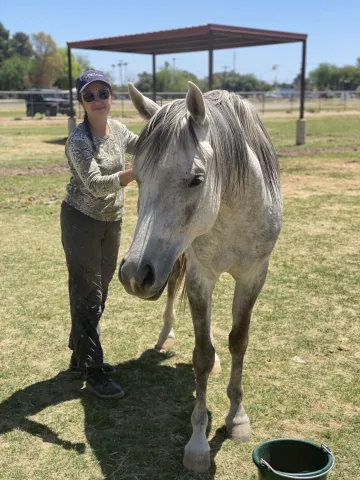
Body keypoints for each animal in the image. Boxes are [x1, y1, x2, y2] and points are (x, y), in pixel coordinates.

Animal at [118, 82, 282, 472]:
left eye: (196, 179)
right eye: (138, 178)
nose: (132, 274)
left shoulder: (254, 276)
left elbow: (239, 341)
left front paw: (237, 418)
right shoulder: (199, 277)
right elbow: (201, 355)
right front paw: (197, 445)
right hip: (175, 262)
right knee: (171, 291)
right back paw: (165, 335)